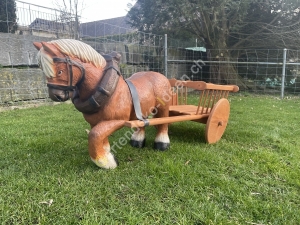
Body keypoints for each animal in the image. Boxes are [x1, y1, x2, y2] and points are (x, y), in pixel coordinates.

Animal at [33, 38, 171, 169]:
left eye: (60, 71)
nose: (55, 96)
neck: (109, 91)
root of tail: (161, 75)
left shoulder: (116, 120)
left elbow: (94, 135)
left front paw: (106, 162)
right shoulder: (95, 122)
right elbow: (100, 137)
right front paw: (106, 153)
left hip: (163, 107)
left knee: (164, 122)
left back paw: (162, 143)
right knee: (142, 122)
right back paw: (137, 141)